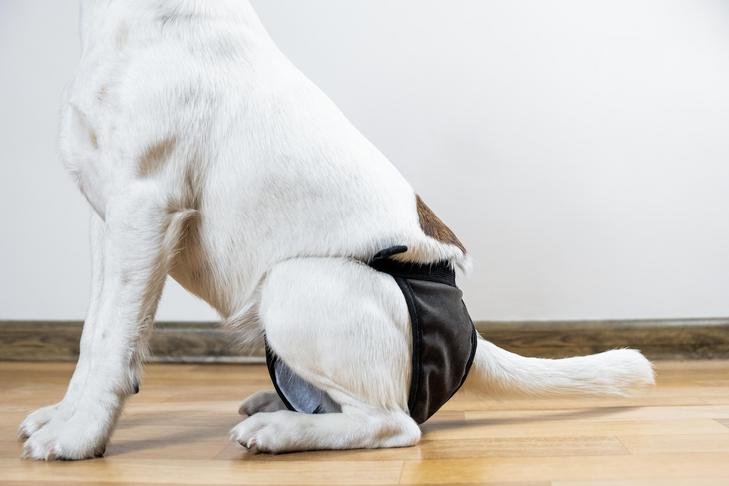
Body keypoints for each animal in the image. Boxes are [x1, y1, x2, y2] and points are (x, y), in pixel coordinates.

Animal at [18, 1, 656, 462]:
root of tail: (470, 335)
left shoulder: (144, 206)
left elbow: (111, 343)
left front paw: (80, 437)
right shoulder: (110, 219)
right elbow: (93, 335)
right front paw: (64, 415)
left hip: (296, 284)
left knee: (393, 423)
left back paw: (280, 431)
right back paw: (280, 407)